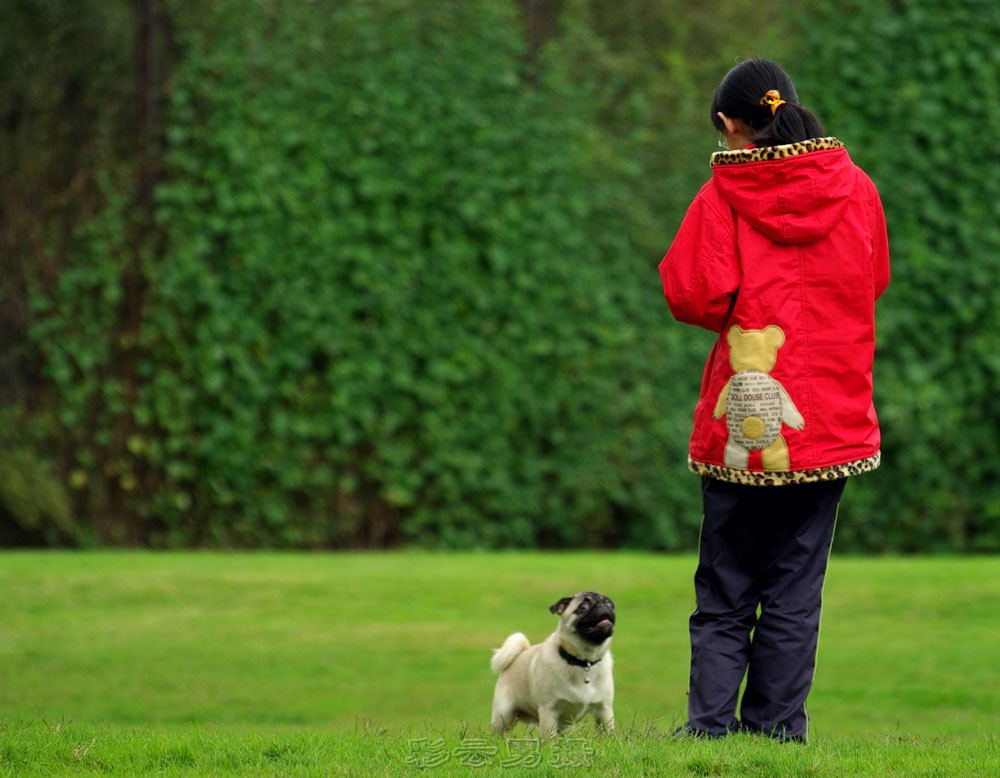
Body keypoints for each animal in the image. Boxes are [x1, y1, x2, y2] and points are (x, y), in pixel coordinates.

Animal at [488, 592, 612, 736]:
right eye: (583, 607)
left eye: (610, 604)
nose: (602, 605)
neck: (583, 662)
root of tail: (520, 653)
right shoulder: (549, 710)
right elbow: (549, 737)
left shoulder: (604, 710)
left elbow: (607, 732)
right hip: (504, 714)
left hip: (565, 724)